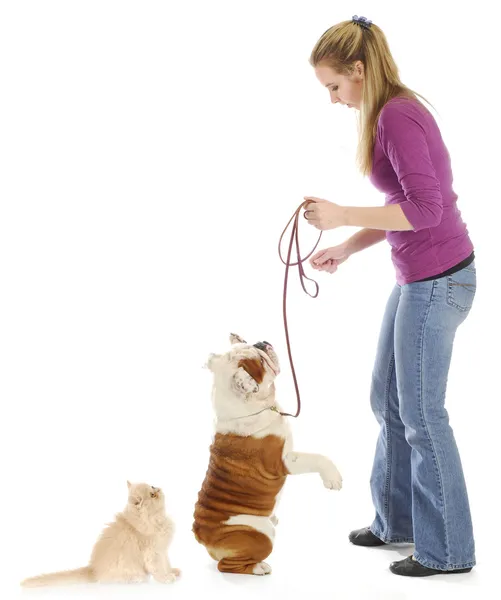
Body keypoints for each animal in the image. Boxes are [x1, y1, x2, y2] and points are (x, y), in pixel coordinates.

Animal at [22, 482, 182, 584]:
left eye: (153, 486)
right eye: (152, 494)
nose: (159, 489)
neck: (154, 519)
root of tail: (93, 570)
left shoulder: (163, 551)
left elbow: (166, 563)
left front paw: (172, 571)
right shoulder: (153, 553)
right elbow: (158, 568)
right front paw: (166, 578)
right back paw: (138, 578)